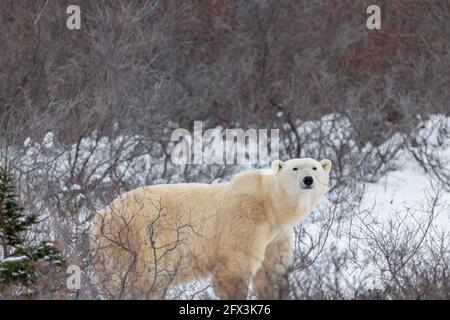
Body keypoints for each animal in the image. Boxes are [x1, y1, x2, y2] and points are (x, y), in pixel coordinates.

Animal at [90, 158, 330, 300]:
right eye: (295, 168)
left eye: (315, 167)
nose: (308, 179)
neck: (270, 205)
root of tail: (101, 216)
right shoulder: (244, 219)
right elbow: (233, 269)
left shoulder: (277, 235)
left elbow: (271, 273)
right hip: (138, 238)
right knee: (144, 279)